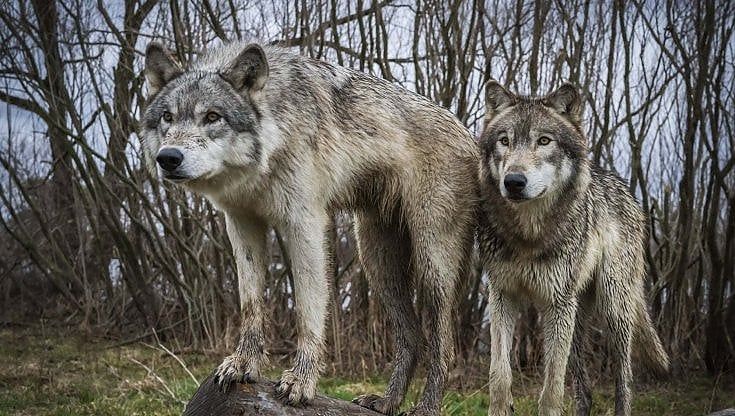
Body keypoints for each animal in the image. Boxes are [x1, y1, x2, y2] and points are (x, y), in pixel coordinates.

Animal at [139, 41, 479, 415]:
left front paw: (301, 383)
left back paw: (426, 408)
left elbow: (308, 314)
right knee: (412, 338)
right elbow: (251, 304)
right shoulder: (242, 224)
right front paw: (244, 365)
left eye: (212, 117)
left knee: (443, 345)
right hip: (378, 265)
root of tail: (469, 134)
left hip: (432, 268)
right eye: (168, 117)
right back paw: (386, 402)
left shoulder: (305, 226)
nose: (168, 158)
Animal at [476, 81, 669, 416]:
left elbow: (552, 386)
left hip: (612, 309)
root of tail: (625, 189)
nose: (513, 181)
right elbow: (499, 375)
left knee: (624, 378)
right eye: (504, 141)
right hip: (576, 318)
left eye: (544, 141)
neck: (529, 236)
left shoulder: (556, 305)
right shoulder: (502, 298)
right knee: (585, 389)